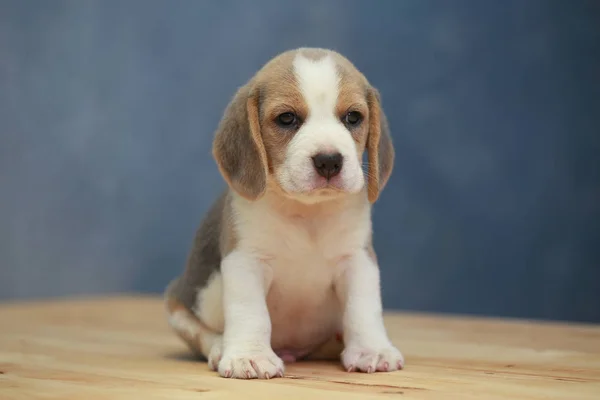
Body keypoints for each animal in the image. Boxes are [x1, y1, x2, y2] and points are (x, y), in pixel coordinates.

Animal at [163, 47, 404, 378]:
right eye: (287, 118)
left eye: (353, 117)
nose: (329, 160)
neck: (306, 212)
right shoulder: (246, 261)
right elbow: (251, 313)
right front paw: (249, 355)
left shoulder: (357, 261)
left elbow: (363, 309)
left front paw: (372, 349)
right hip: (177, 304)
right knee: (202, 333)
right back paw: (220, 347)